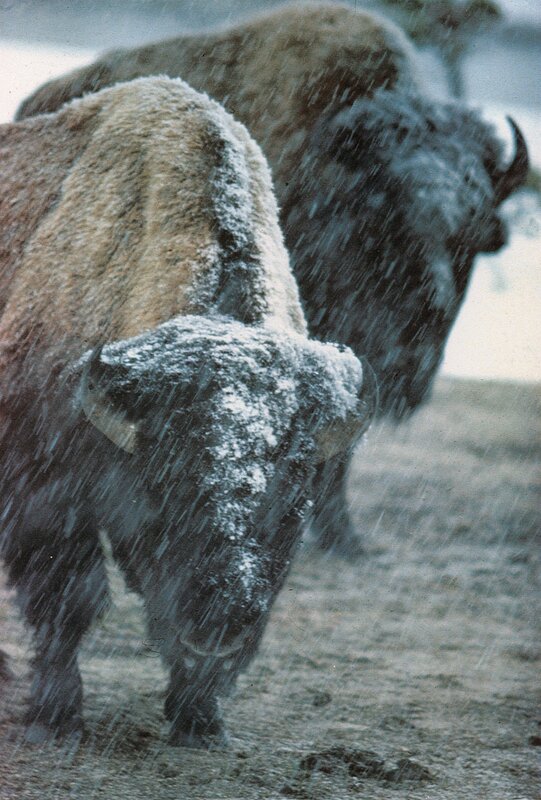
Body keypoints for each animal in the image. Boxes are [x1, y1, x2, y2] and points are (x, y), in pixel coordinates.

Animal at [0, 77, 375, 747]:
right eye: (168, 479)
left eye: (295, 485)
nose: (224, 612)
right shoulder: (45, 493)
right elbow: (70, 601)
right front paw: (55, 718)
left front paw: (201, 722)